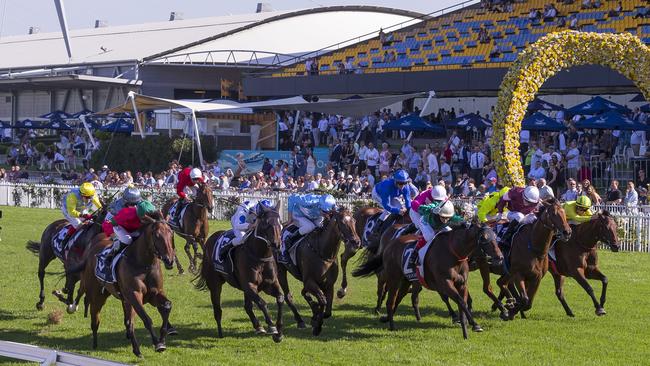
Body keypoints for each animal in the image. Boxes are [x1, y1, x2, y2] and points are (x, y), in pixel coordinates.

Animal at [75, 212, 176, 358]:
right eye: (157, 235)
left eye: (171, 233)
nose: (169, 260)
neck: (143, 263)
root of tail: (91, 250)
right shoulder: (134, 294)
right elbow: (146, 319)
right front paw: (157, 343)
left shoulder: (155, 293)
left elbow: (167, 306)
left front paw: (162, 339)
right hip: (97, 295)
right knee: (96, 319)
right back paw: (95, 344)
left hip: (123, 299)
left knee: (128, 322)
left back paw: (136, 349)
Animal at [192, 204, 284, 342]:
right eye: (266, 224)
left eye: (280, 223)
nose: (276, 244)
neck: (260, 256)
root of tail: (210, 240)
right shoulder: (249, 285)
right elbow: (262, 303)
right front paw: (272, 327)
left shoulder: (269, 284)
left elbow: (280, 298)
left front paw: (278, 331)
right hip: (215, 284)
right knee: (217, 309)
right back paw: (220, 333)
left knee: (247, 306)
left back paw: (258, 327)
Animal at [278, 207, 362, 336]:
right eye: (342, 222)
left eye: (354, 220)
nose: (356, 242)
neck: (323, 253)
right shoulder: (310, 281)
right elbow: (323, 301)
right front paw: (317, 326)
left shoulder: (328, 284)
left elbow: (327, 310)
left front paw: (316, 317)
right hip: (281, 270)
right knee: (288, 296)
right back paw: (300, 321)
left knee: (304, 293)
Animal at [354, 224, 502, 338]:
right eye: (484, 238)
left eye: (495, 237)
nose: (500, 257)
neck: (454, 253)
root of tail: (390, 244)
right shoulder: (444, 283)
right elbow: (460, 301)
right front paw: (474, 324)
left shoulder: (462, 284)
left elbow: (462, 303)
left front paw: (467, 327)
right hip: (394, 278)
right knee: (390, 300)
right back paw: (391, 325)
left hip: (406, 279)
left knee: (399, 297)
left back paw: (387, 318)